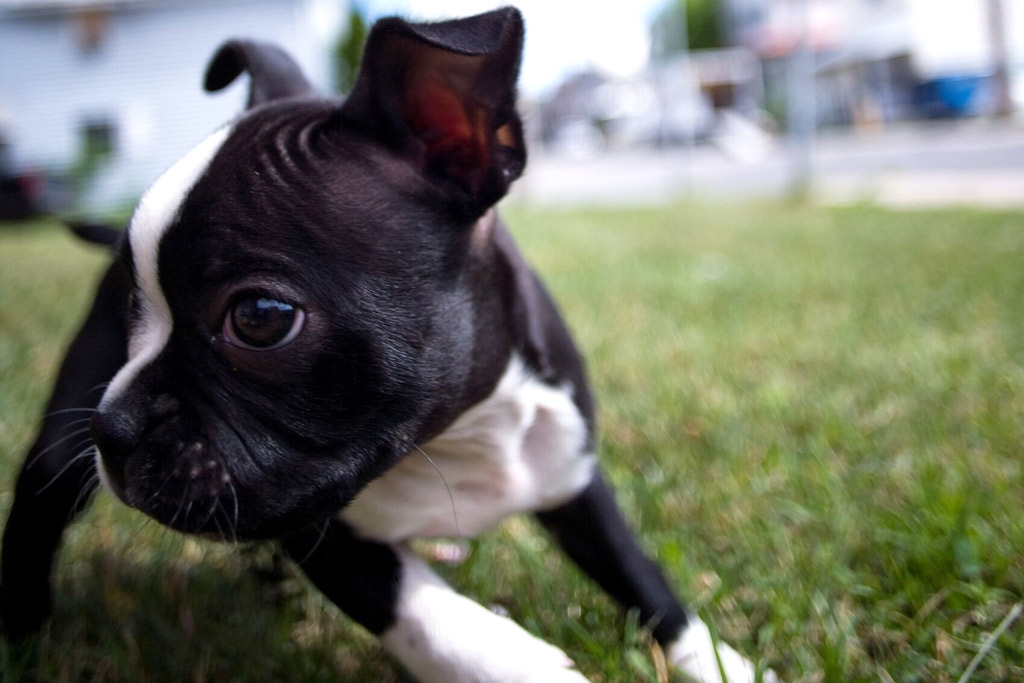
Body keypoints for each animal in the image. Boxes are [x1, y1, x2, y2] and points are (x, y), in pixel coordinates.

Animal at [0, 6, 770, 683]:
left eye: (259, 317)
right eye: (130, 304)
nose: (115, 425)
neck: (459, 433)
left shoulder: (573, 474)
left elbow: (638, 573)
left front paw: (717, 662)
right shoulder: (317, 522)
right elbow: (409, 603)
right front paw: (513, 662)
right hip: (62, 452)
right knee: (38, 507)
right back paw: (25, 640)